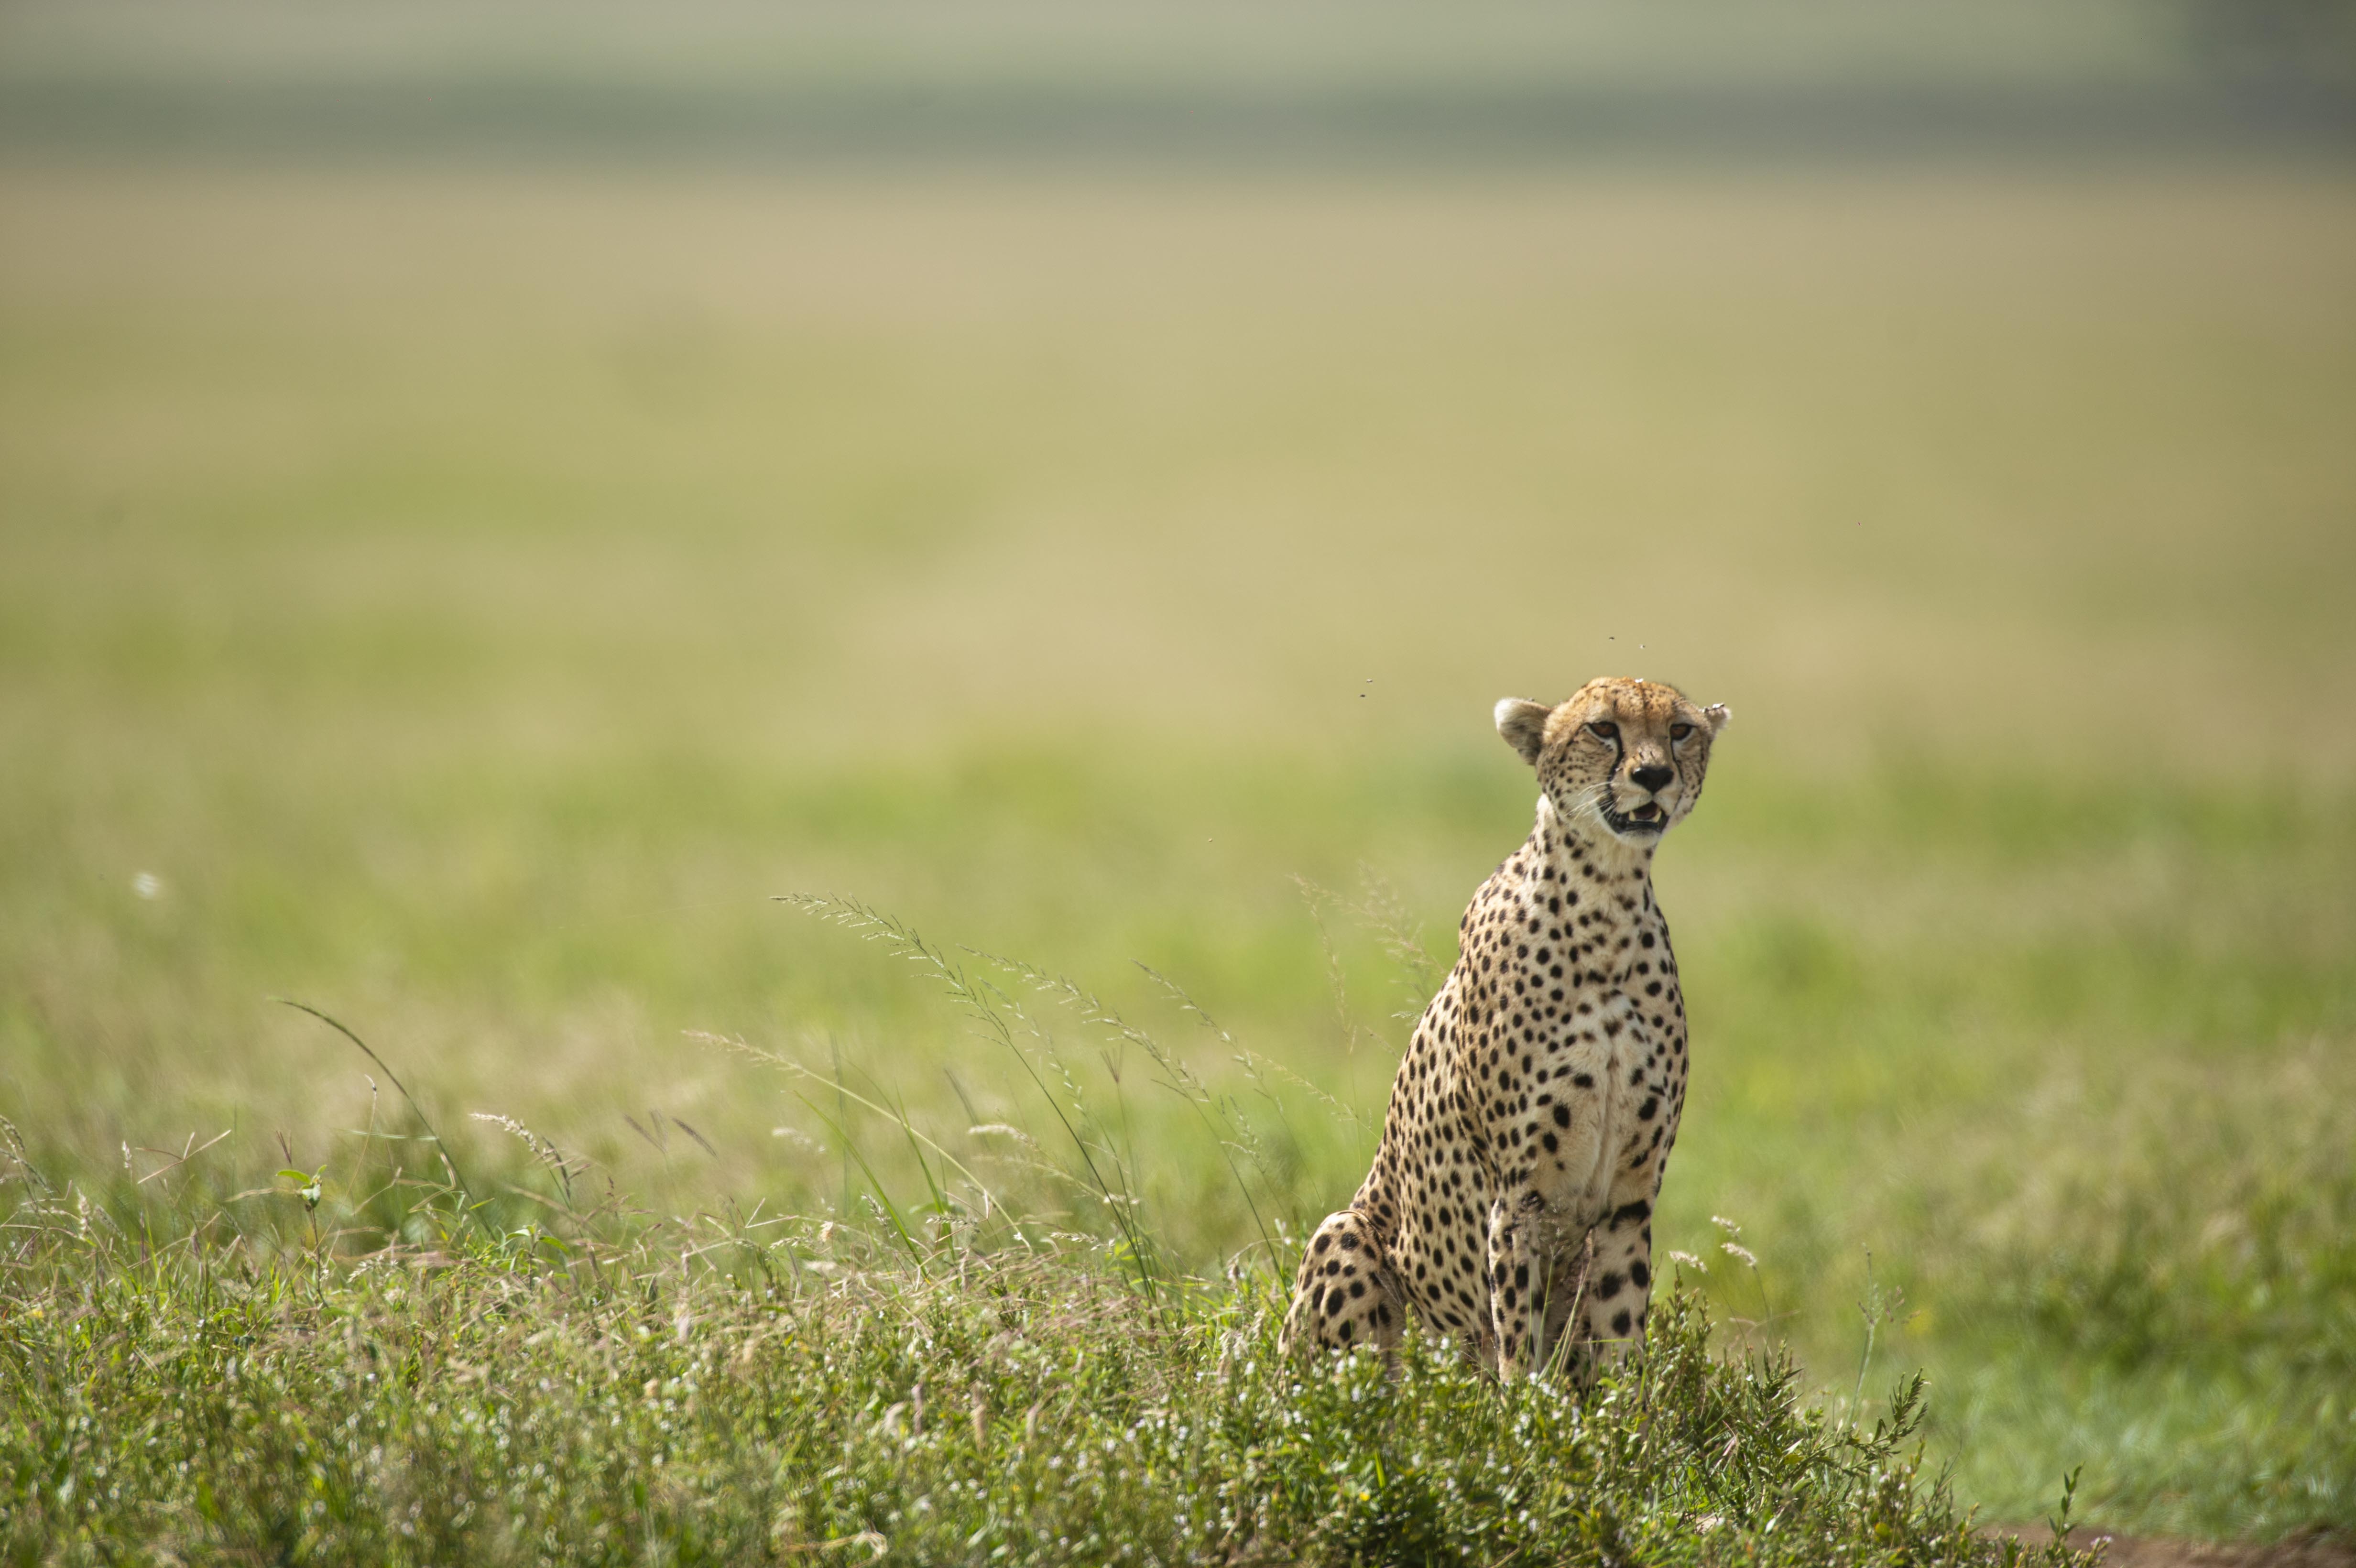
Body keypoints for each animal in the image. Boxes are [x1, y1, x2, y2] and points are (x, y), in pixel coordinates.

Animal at [1282, 675, 1729, 1384]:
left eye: (1680, 730)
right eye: (1603, 728)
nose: (1654, 775)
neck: (1606, 897)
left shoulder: (1630, 1200)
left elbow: (1619, 1342)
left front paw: (1624, 1415)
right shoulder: (1521, 1197)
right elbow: (1519, 1348)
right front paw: (1526, 1412)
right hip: (1346, 1236)